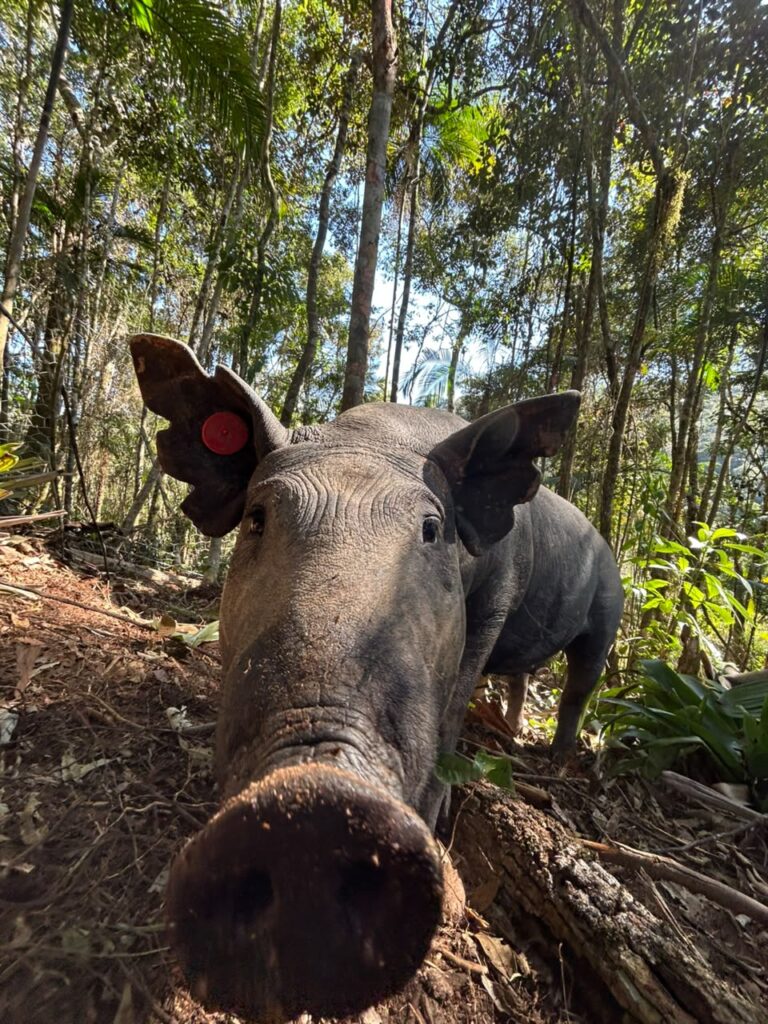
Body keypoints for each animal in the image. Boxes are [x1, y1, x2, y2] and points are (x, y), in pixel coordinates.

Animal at [130, 334, 623, 1023]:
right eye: (257, 517)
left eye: (431, 530)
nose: (312, 800)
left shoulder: (498, 599)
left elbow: (454, 707)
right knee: (524, 680)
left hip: (609, 610)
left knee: (580, 682)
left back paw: (552, 758)